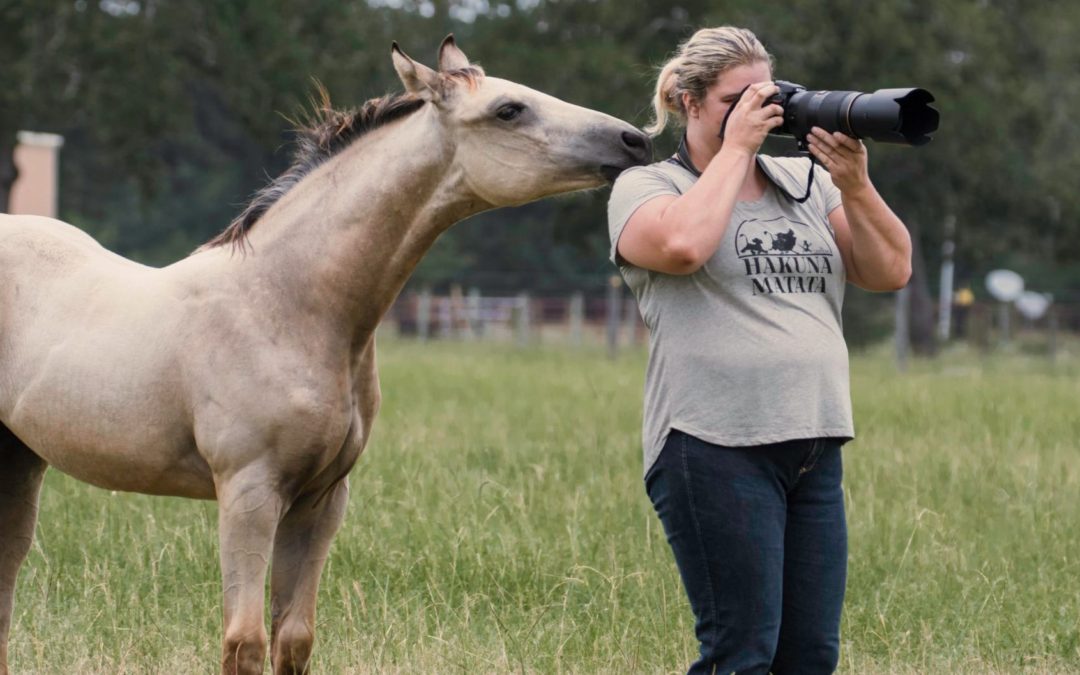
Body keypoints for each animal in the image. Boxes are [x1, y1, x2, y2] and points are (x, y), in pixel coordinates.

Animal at [0, 38, 648, 673]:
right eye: (508, 110)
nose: (634, 140)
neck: (285, 304)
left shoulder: (320, 501)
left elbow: (294, 639)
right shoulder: (249, 494)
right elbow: (244, 642)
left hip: (22, 461)